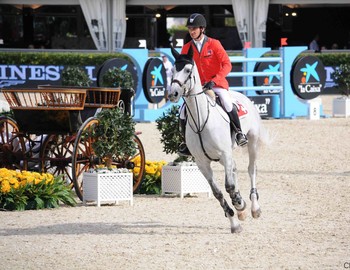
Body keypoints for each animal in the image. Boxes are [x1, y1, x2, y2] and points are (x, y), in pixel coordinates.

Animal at [168, 46, 270, 232]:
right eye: (172, 70)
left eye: (187, 70)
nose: (173, 93)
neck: (201, 120)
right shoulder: (202, 163)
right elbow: (218, 192)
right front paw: (234, 221)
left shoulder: (225, 153)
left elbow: (229, 186)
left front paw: (238, 203)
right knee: (235, 169)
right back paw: (242, 211)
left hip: (251, 142)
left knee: (251, 169)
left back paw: (253, 207)